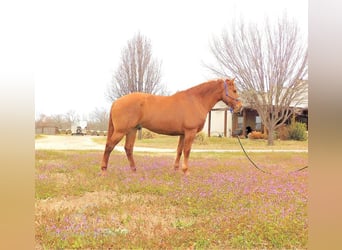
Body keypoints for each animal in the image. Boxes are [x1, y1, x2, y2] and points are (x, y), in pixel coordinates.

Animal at [100, 79, 242, 175]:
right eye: (234, 90)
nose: (240, 107)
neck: (195, 101)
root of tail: (116, 102)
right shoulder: (190, 132)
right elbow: (187, 150)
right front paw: (186, 171)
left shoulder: (183, 134)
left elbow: (179, 150)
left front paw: (175, 169)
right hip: (121, 131)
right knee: (109, 146)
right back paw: (104, 170)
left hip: (132, 130)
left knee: (128, 148)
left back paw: (134, 170)